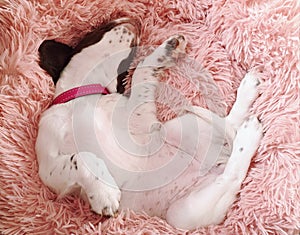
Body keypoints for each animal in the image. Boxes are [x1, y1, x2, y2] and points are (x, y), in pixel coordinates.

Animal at [35, 17, 262, 229]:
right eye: (99, 30)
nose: (128, 17)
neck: (85, 97)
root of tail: (217, 162)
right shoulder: (48, 168)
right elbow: (81, 158)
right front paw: (104, 192)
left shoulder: (138, 114)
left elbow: (142, 71)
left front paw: (168, 48)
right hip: (183, 206)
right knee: (230, 160)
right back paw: (249, 122)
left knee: (231, 158)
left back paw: (249, 119)